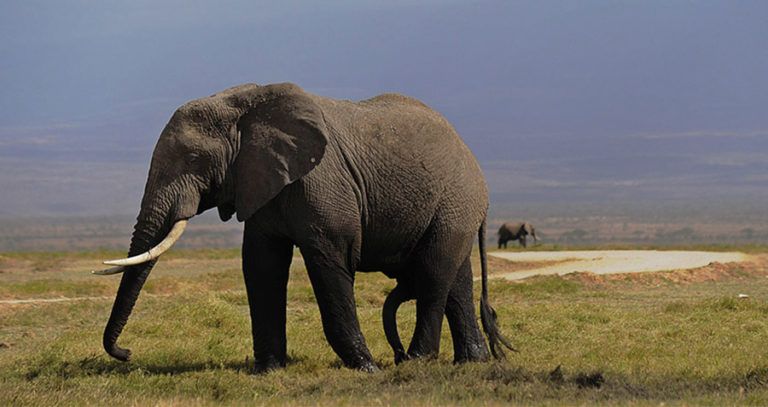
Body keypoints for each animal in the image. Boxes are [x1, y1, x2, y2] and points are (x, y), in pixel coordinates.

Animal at [93, 82, 512, 372]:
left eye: (194, 159)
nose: (126, 353)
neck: (244, 105)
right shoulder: (260, 183)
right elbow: (261, 266)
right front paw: (267, 371)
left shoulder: (322, 184)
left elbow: (330, 262)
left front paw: (367, 368)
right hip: (452, 208)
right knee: (456, 280)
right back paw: (470, 362)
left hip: (455, 200)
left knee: (434, 274)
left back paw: (417, 360)